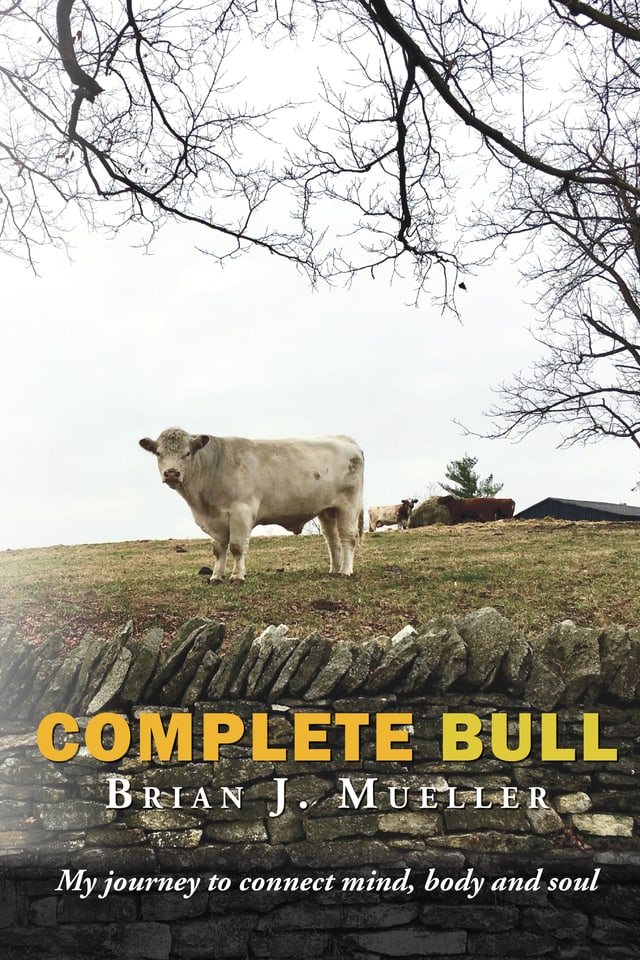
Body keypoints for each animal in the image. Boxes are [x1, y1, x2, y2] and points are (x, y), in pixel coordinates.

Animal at [139, 428, 365, 582]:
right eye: (158, 453)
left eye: (187, 453)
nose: (171, 473)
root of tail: (344, 439)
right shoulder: (216, 521)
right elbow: (218, 549)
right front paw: (216, 577)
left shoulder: (241, 512)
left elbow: (237, 547)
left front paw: (237, 577)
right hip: (327, 510)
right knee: (332, 540)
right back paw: (334, 570)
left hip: (348, 505)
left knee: (348, 538)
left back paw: (346, 571)